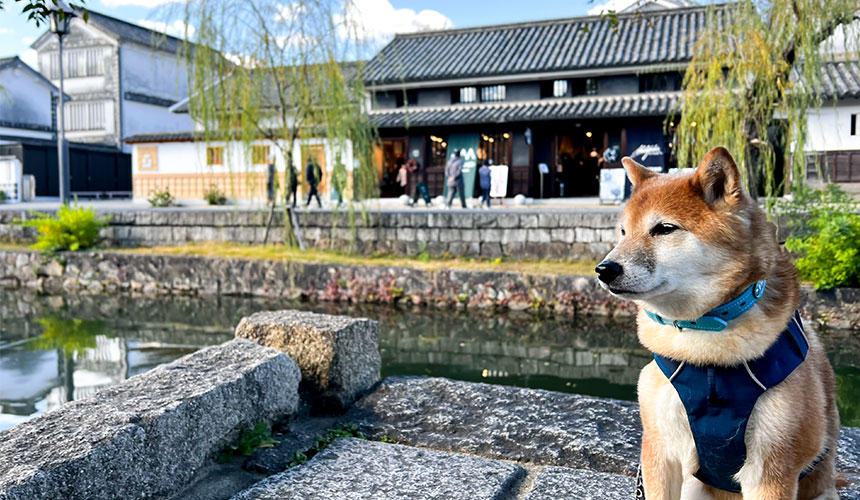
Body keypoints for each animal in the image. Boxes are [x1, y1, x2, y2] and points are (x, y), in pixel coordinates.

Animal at [596, 147, 840, 500]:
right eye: (623, 232)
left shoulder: (772, 468)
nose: (604, 269)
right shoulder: (660, 449)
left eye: (664, 228)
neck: (706, 346)